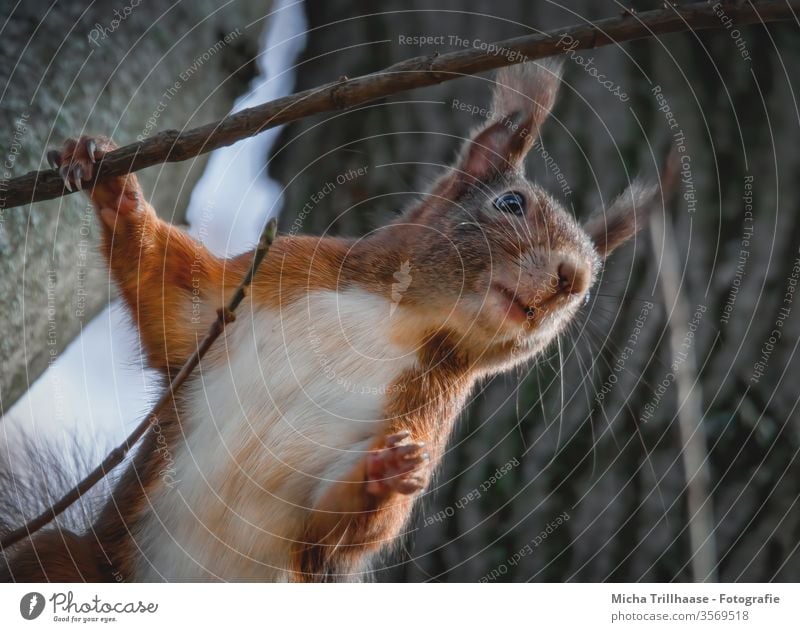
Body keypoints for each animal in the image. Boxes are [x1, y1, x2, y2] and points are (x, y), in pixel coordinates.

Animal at [0, 60, 668, 584]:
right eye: (510, 203)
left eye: (592, 281)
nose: (571, 281)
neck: (399, 318)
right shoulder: (264, 280)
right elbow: (172, 294)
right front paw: (109, 180)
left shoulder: (425, 410)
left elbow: (330, 529)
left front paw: (388, 474)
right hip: (67, 559)